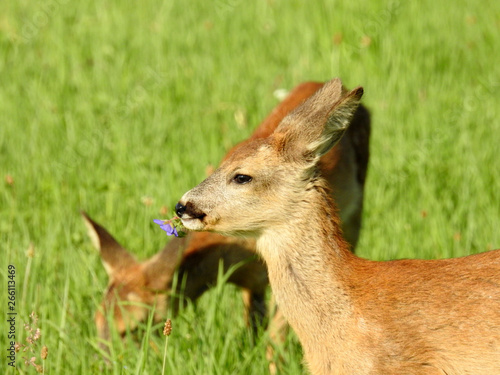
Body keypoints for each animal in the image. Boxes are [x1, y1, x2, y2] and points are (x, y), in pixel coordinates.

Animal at [83, 82, 372, 350]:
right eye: (97, 322)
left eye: (135, 327)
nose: (105, 363)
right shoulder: (252, 283)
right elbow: (253, 326)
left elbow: (276, 338)